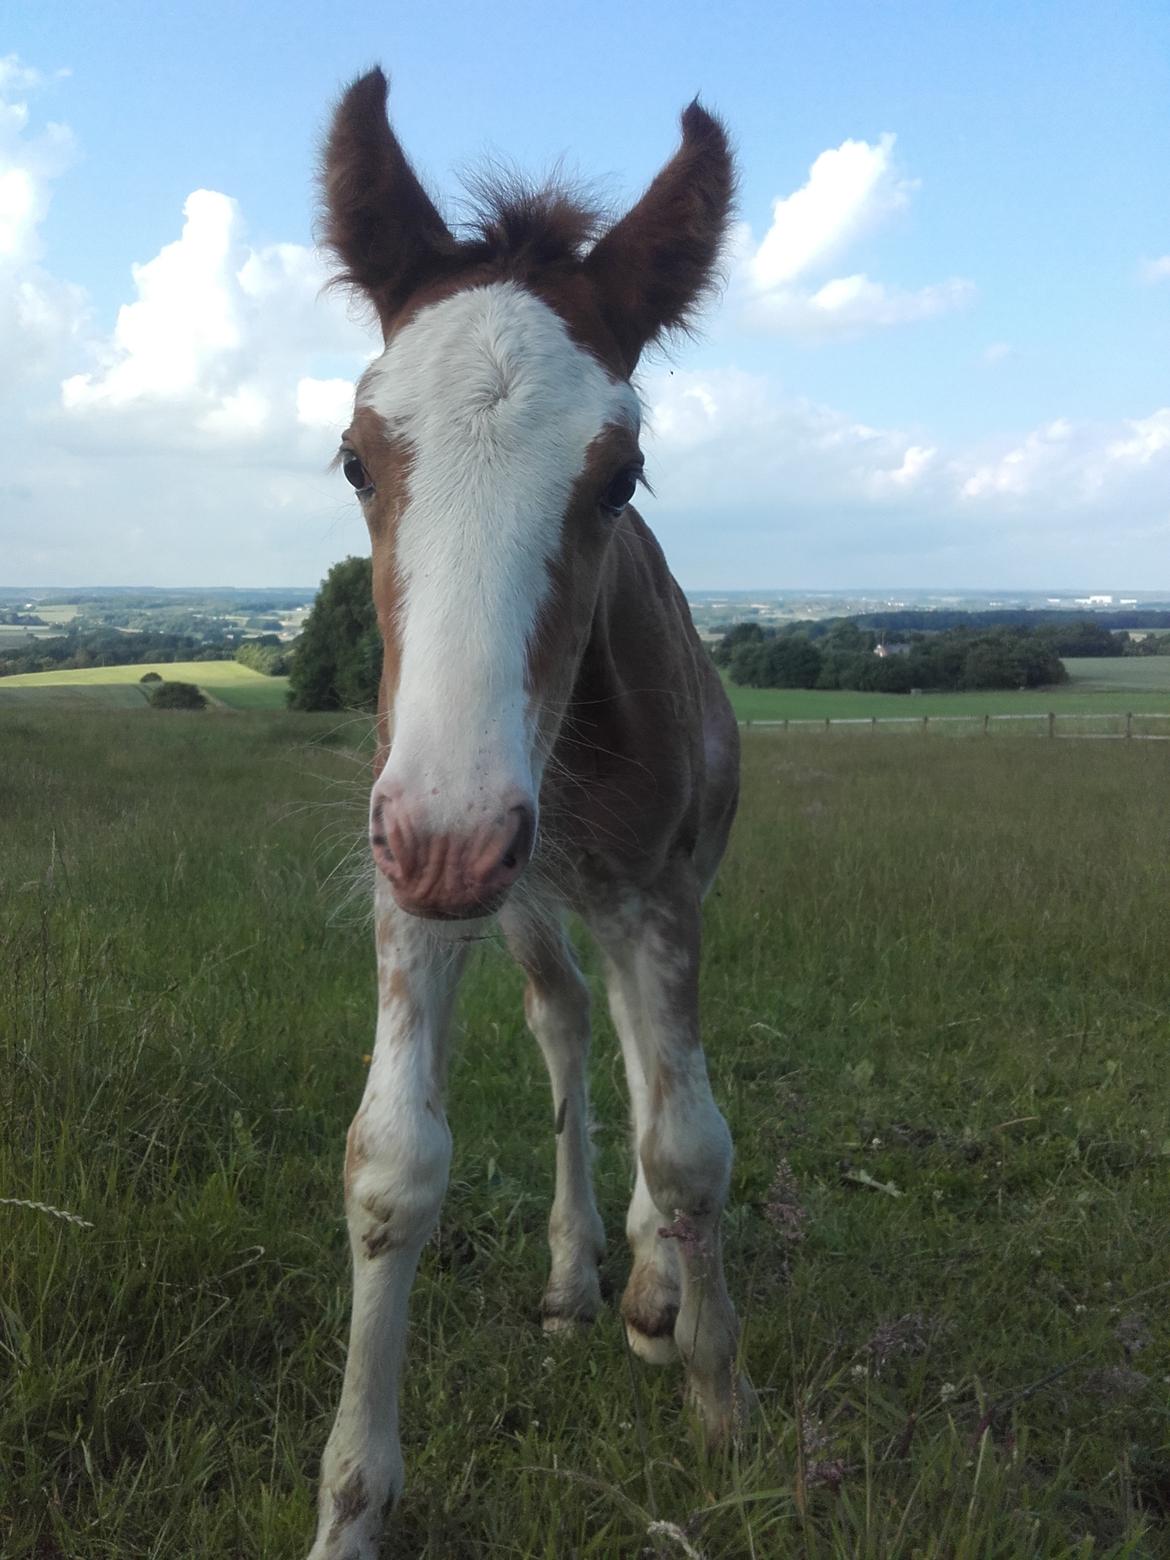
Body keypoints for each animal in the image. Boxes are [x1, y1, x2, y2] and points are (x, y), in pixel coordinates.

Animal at [312, 70, 745, 1560]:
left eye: (619, 476)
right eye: (354, 461)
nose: (456, 836)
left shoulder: (660, 890)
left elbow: (689, 1144)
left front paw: (719, 1407)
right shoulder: (415, 890)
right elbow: (393, 1161)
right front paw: (350, 1506)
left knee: (640, 1056)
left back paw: (658, 1295)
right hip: (524, 900)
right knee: (567, 1027)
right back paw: (579, 1275)